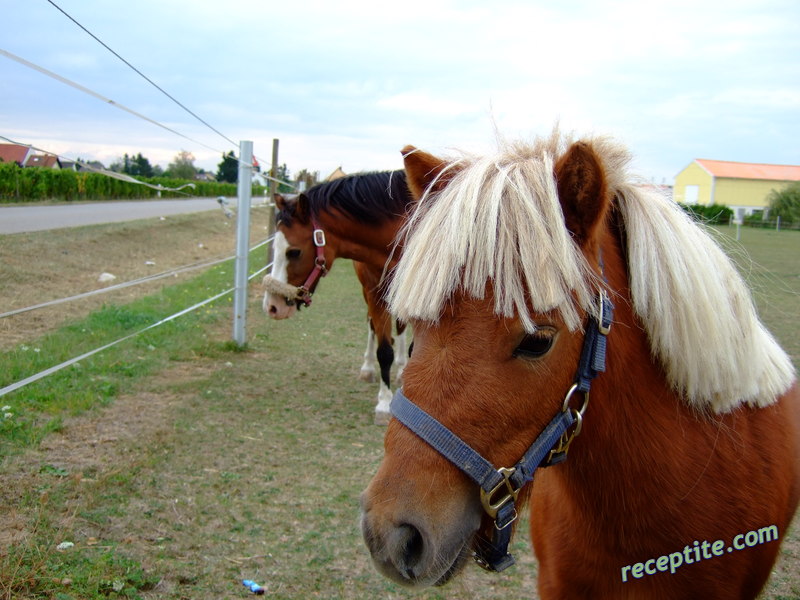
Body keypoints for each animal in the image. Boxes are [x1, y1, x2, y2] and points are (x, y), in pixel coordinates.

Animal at [264, 171, 412, 424]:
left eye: (294, 252)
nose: (272, 306)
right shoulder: (374, 294)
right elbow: (384, 351)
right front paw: (384, 403)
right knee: (372, 327)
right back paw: (368, 368)